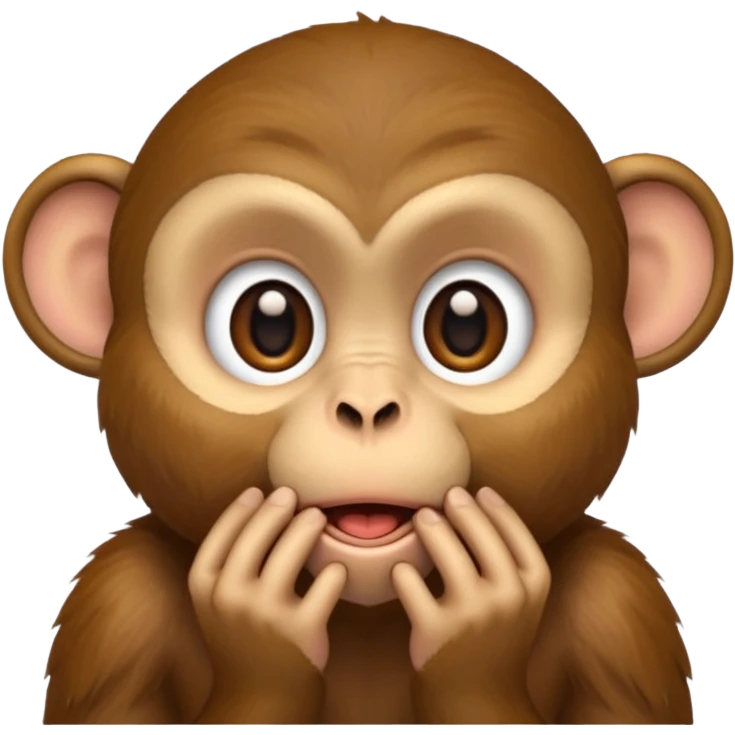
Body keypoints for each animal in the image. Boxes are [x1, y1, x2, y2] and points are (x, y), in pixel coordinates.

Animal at [3, 14, 730, 726]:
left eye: (466, 323)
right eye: (270, 323)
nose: (368, 406)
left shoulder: (620, 607)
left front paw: (476, 629)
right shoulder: (116, 608)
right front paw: (261, 627)